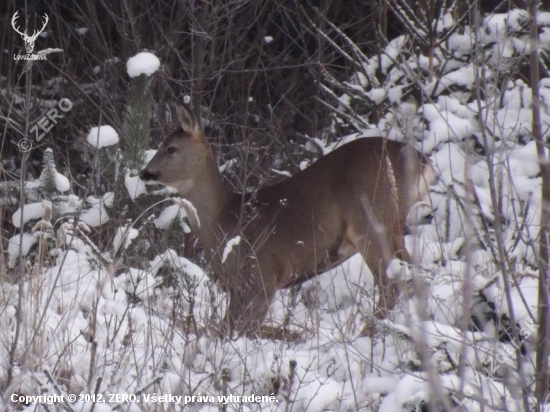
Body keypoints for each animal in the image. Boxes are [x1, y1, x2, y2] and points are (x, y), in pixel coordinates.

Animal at [141, 104, 436, 336]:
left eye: (171, 148)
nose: (145, 173)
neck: (224, 220)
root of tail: (423, 163)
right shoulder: (238, 289)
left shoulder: (261, 278)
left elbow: (238, 330)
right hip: (391, 226)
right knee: (415, 272)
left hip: (371, 222)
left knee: (390, 283)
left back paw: (364, 333)